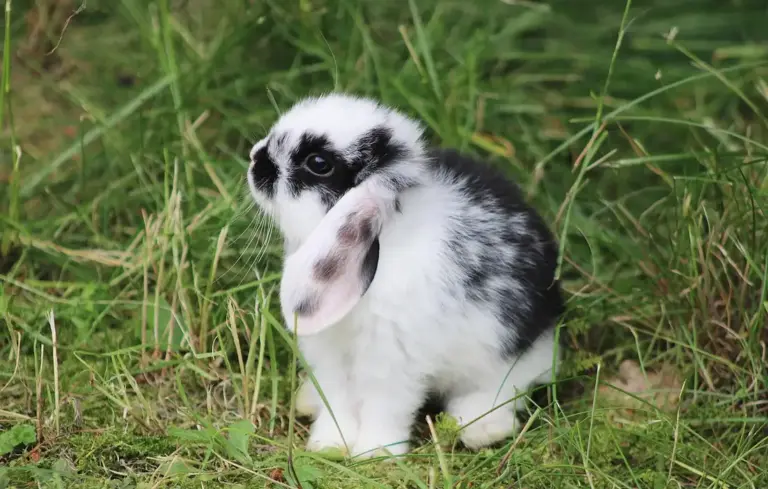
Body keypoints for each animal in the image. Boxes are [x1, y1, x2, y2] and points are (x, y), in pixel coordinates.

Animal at [246, 93, 565, 459]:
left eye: (319, 163)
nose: (255, 158)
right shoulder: (329, 357)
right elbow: (337, 403)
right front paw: (329, 445)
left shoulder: (392, 362)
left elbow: (384, 408)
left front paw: (376, 453)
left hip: (508, 358)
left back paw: (482, 429)